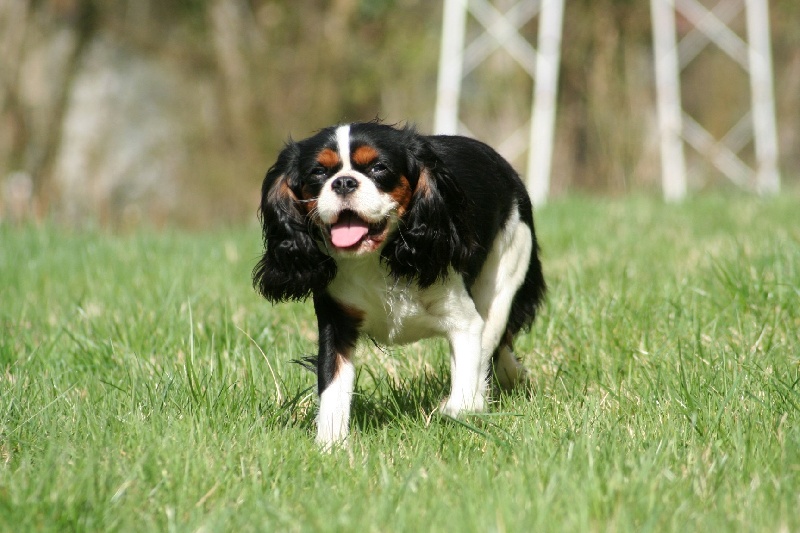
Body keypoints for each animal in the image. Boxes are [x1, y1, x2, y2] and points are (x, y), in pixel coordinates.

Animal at [253, 122, 548, 446]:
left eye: (379, 168)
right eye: (319, 172)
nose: (343, 182)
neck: (376, 256)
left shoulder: (465, 322)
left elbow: (466, 380)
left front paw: (458, 409)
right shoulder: (337, 322)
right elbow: (333, 386)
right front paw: (330, 445)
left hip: (506, 267)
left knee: (492, 339)